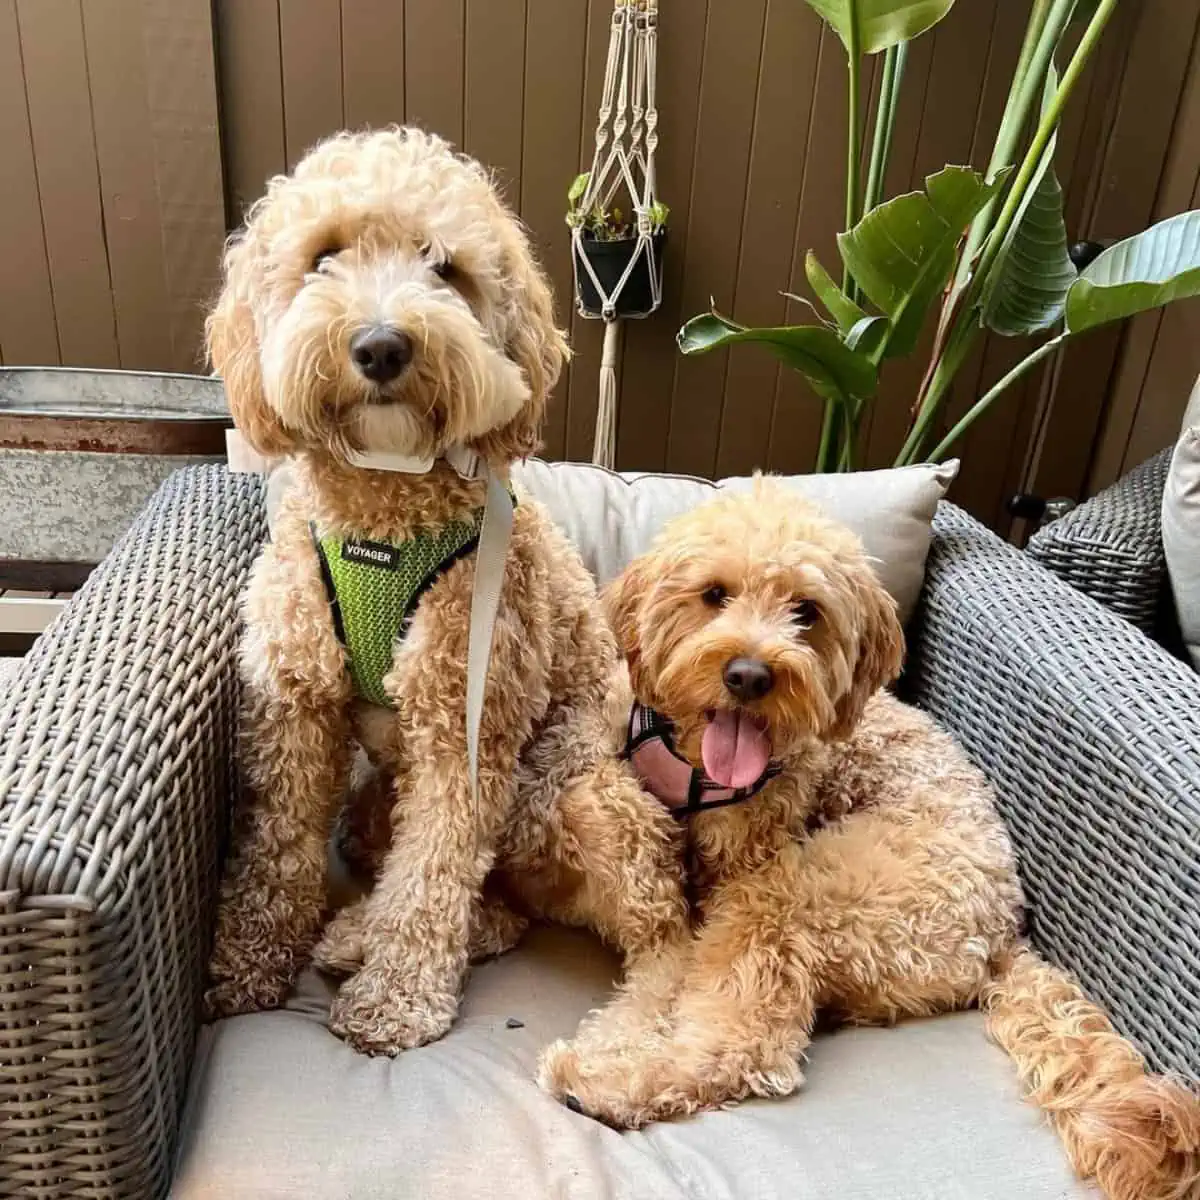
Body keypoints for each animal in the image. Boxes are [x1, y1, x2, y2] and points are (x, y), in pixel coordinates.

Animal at [204, 126, 686, 1056]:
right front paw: (246, 963)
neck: (383, 525)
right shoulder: (296, 711)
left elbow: (434, 872)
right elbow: (277, 848)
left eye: (444, 267)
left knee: (528, 910)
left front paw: (395, 998)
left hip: (572, 796)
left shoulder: (465, 724)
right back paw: (347, 935)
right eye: (326, 256)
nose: (382, 347)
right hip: (369, 807)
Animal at [537, 482, 1200, 1200]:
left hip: (791, 898)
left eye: (807, 611)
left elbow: (672, 948)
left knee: (750, 1045)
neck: (692, 764)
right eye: (714, 594)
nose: (749, 676)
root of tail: (1006, 933)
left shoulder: (744, 863)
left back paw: (606, 1083)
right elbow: (600, 797)